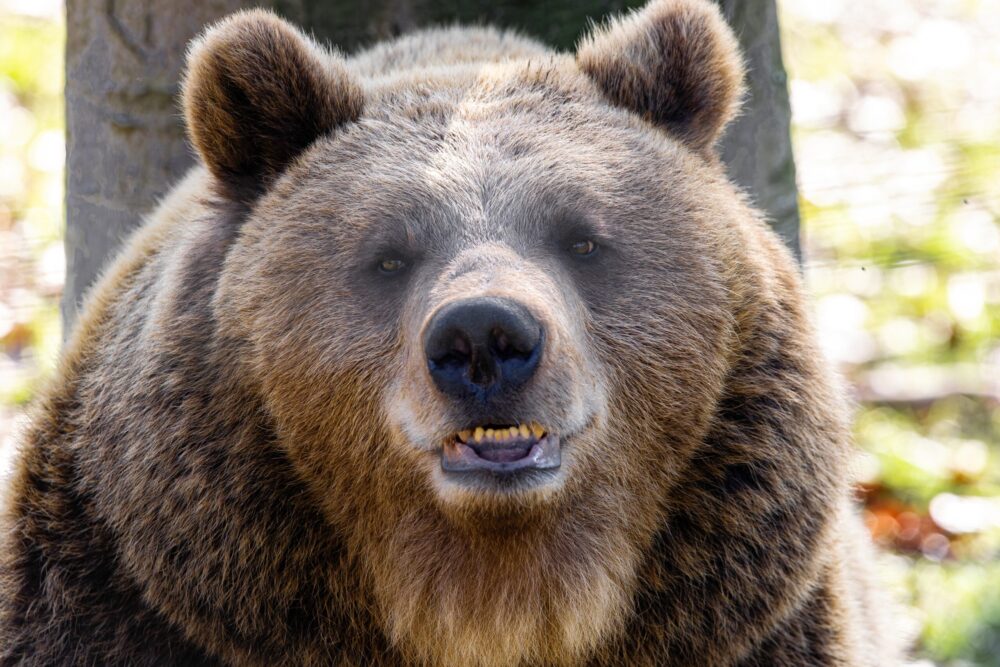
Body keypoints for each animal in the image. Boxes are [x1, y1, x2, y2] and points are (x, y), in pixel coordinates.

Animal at [0, 0, 900, 664]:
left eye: (583, 238)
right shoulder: (138, 599)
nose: (484, 337)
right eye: (388, 254)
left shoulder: (745, 621)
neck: (484, 599)